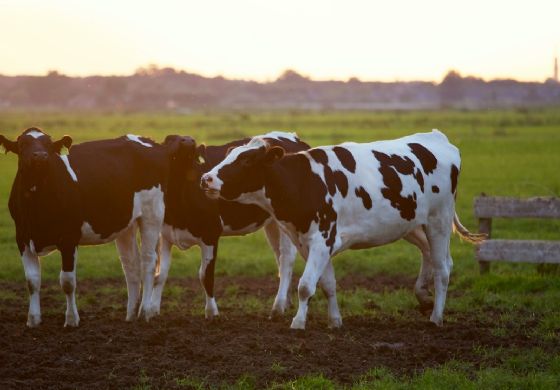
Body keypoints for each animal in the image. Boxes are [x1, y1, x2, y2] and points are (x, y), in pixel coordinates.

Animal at [0, 127, 186, 326]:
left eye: (49, 145)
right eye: (22, 145)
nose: (41, 156)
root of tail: (152, 143)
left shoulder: (69, 238)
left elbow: (67, 281)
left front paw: (71, 320)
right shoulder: (22, 238)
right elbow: (32, 281)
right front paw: (33, 320)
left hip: (152, 214)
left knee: (148, 262)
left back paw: (144, 313)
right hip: (126, 225)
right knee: (131, 265)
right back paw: (130, 316)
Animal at [150, 133, 310, 318]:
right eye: (170, 139)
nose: (189, 140)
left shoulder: (211, 234)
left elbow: (206, 275)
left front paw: (212, 313)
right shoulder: (165, 234)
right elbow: (160, 274)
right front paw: (152, 310)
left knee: (286, 260)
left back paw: (278, 306)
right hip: (273, 223)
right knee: (279, 257)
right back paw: (286, 302)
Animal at [201, 130, 486, 330]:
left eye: (246, 160)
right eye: (228, 155)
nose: (206, 178)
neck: (304, 181)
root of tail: (437, 137)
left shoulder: (322, 239)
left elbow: (305, 286)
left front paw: (298, 322)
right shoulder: (310, 243)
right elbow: (327, 284)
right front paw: (334, 321)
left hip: (439, 221)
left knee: (443, 269)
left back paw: (436, 316)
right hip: (412, 224)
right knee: (430, 255)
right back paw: (423, 296)